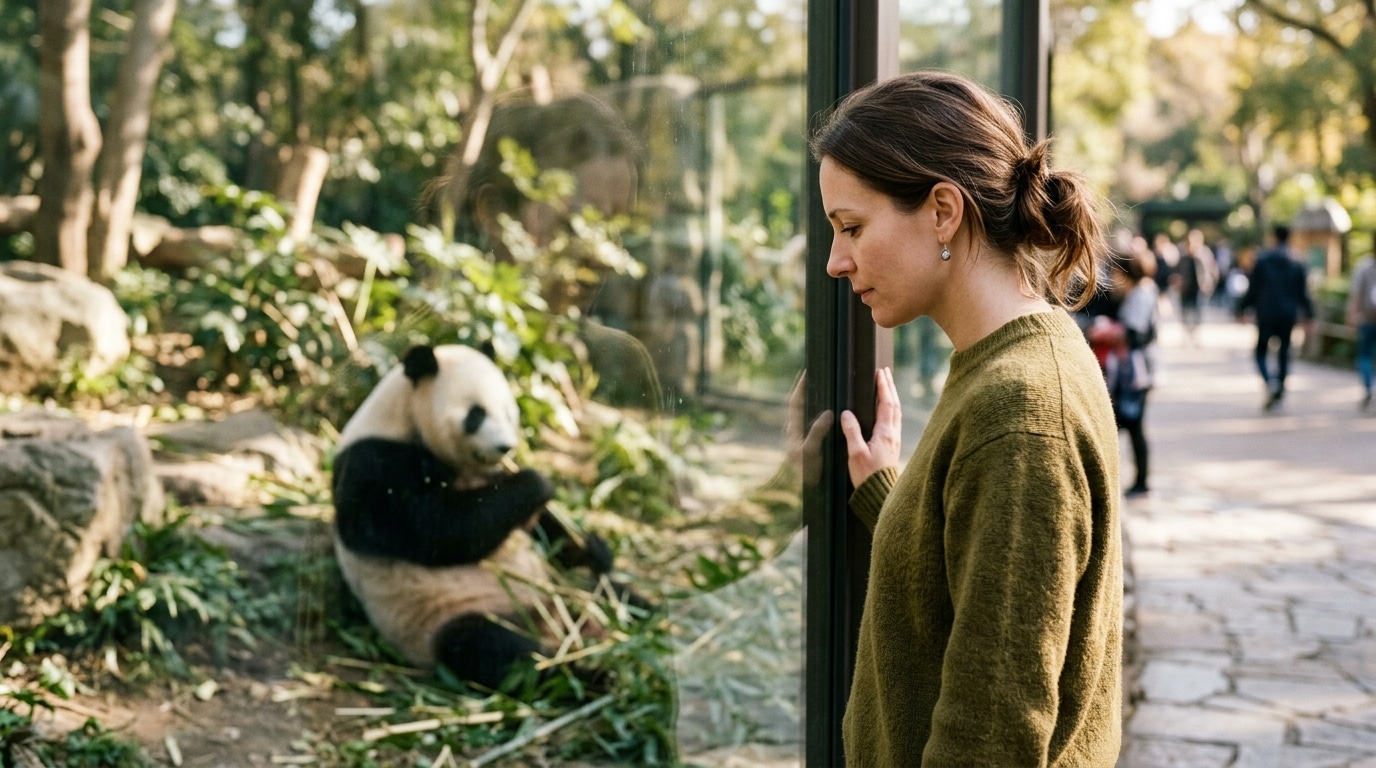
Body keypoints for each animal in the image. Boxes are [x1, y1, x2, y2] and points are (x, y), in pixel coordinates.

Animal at [331, 343, 618, 691]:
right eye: (477, 414)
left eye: (509, 412)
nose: (506, 448)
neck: (403, 416)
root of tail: (553, 623)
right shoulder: (374, 463)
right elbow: (438, 529)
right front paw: (536, 482)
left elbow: (538, 526)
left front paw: (592, 547)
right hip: (448, 616)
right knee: (496, 651)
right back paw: (590, 676)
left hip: (562, 584)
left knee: (607, 589)